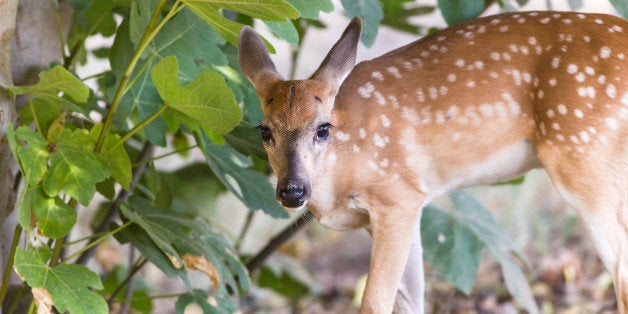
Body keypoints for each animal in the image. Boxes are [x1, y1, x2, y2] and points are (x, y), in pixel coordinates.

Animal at [238, 10, 624, 314]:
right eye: (264, 131)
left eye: (322, 128)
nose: (292, 191)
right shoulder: (398, 210)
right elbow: (411, 300)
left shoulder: (396, 195)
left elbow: (374, 302)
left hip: (581, 156)